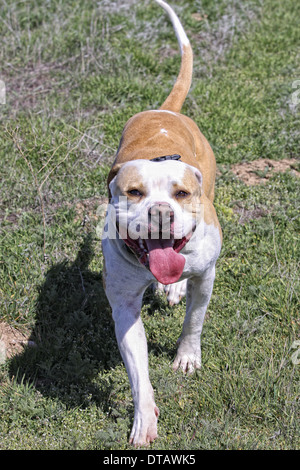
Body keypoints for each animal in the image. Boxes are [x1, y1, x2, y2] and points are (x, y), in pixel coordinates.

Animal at [102, 0, 221, 446]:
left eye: (181, 194)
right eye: (134, 192)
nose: (160, 212)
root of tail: (166, 110)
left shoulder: (206, 275)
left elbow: (195, 320)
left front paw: (187, 357)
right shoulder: (123, 307)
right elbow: (138, 373)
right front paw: (144, 420)